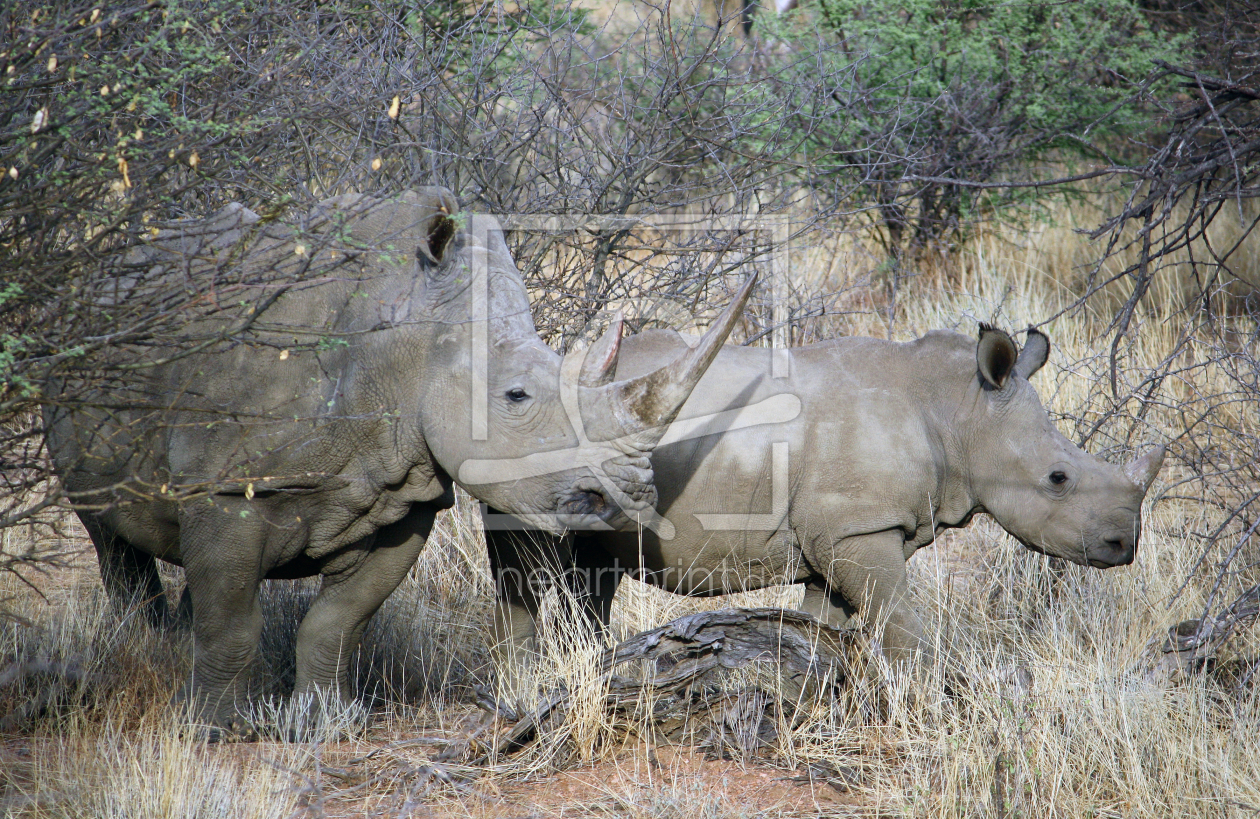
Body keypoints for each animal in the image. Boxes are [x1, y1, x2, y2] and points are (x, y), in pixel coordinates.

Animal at [49, 187, 750, 730]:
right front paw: (216, 729)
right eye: (516, 396)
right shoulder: (226, 488)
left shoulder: (402, 493)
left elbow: (338, 621)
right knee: (105, 528)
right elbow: (231, 625)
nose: (629, 499)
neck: (413, 348)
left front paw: (325, 724)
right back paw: (147, 645)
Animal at [481, 322, 1159, 660]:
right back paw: (526, 686)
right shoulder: (858, 528)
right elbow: (901, 624)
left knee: (594, 570)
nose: (1123, 545)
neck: (959, 411)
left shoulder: (842, 530)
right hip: (529, 455)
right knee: (528, 562)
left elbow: (821, 621)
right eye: (1058, 479)